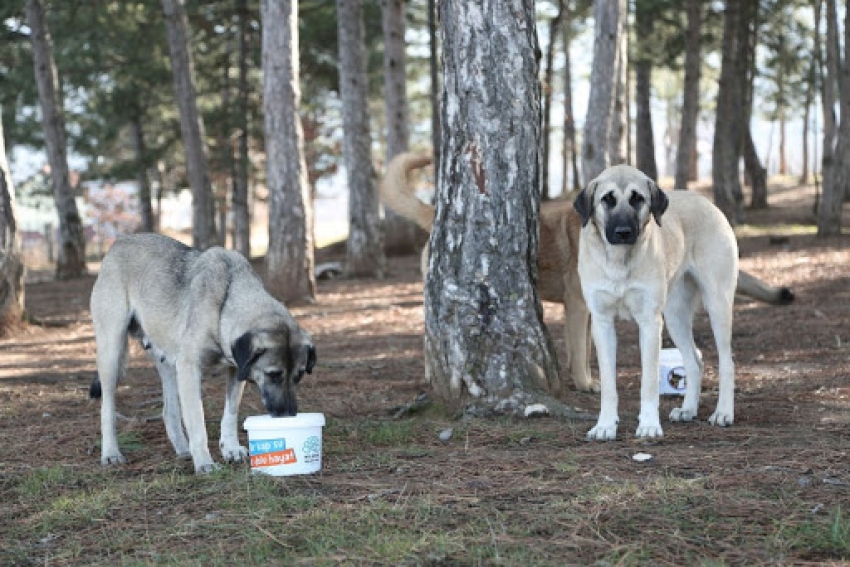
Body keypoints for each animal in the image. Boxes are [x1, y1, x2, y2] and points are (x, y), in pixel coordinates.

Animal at [380, 151, 792, 400]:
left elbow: (586, 351)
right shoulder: (580, 308)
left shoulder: (591, 311)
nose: (624, 232)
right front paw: (586, 383)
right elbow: (581, 353)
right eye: (607, 200)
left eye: (638, 200)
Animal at [576, 164, 736, 440]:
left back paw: (723, 412)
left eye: (638, 198)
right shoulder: (602, 323)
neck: (619, 260)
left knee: (727, 362)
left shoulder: (650, 324)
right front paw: (605, 424)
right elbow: (608, 384)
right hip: (674, 317)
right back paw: (688, 409)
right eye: (607, 199)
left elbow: (649, 382)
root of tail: (707, 203)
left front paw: (649, 424)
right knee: (694, 362)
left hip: (718, 305)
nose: (623, 233)